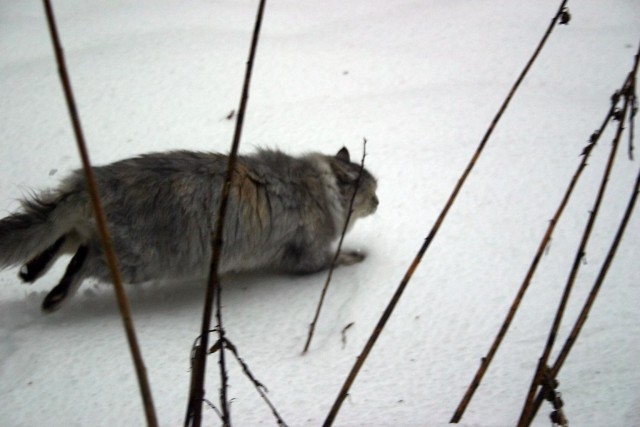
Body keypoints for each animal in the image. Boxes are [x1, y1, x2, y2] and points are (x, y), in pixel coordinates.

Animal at [0, 149, 378, 312]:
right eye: (370, 192)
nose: (379, 201)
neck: (315, 185)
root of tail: (89, 185)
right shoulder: (306, 256)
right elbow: (337, 258)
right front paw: (358, 256)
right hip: (133, 261)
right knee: (79, 261)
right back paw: (54, 297)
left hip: (90, 233)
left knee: (62, 239)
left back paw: (30, 271)